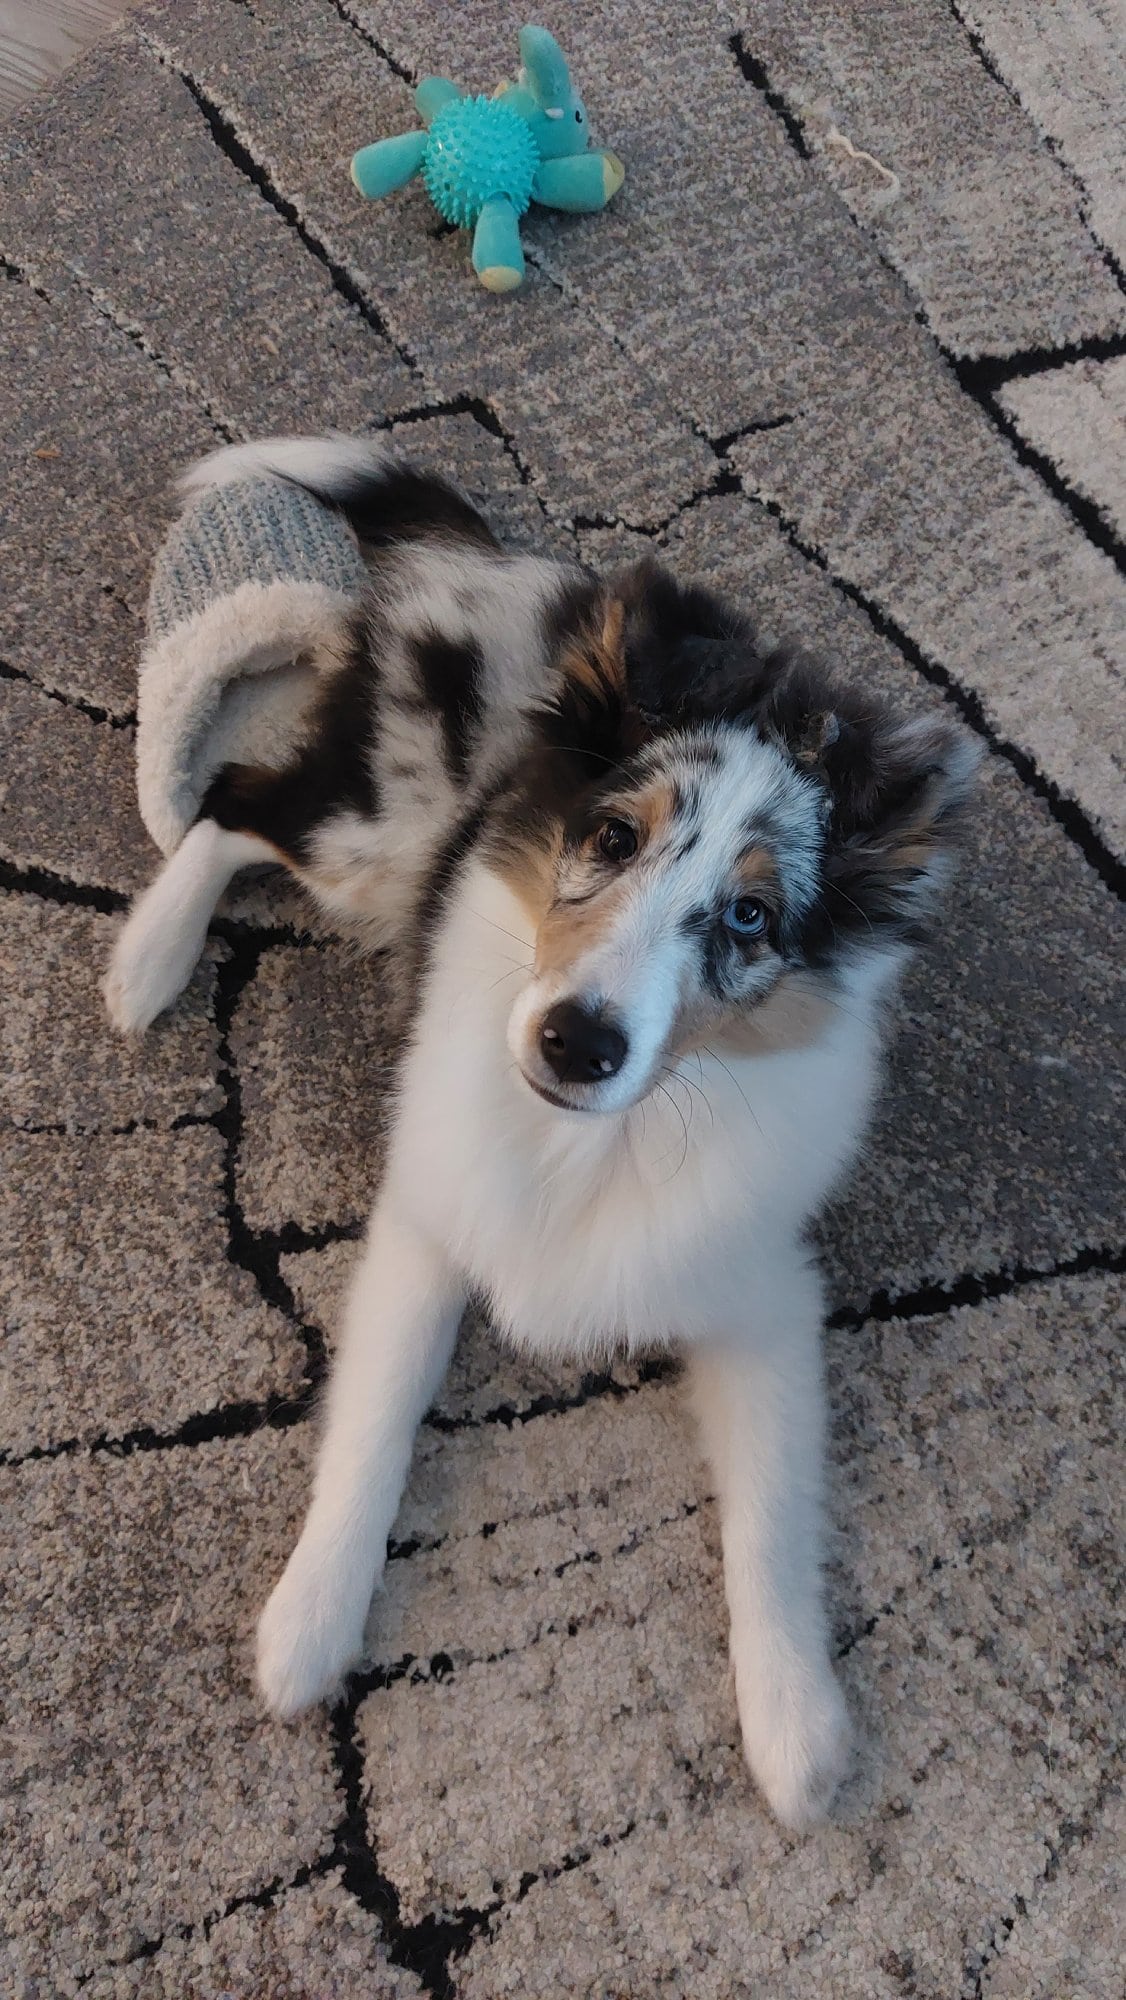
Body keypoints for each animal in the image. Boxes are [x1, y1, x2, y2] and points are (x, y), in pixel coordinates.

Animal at [110, 438, 984, 1832]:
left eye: (749, 916)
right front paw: (307, 1623)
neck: (593, 1146)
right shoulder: (426, 1220)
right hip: (377, 828)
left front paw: (796, 1727)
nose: (577, 1043)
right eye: (611, 836)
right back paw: (144, 964)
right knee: (236, 802)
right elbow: (375, 1424)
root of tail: (520, 570)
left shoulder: (760, 1292)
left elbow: (771, 1511)